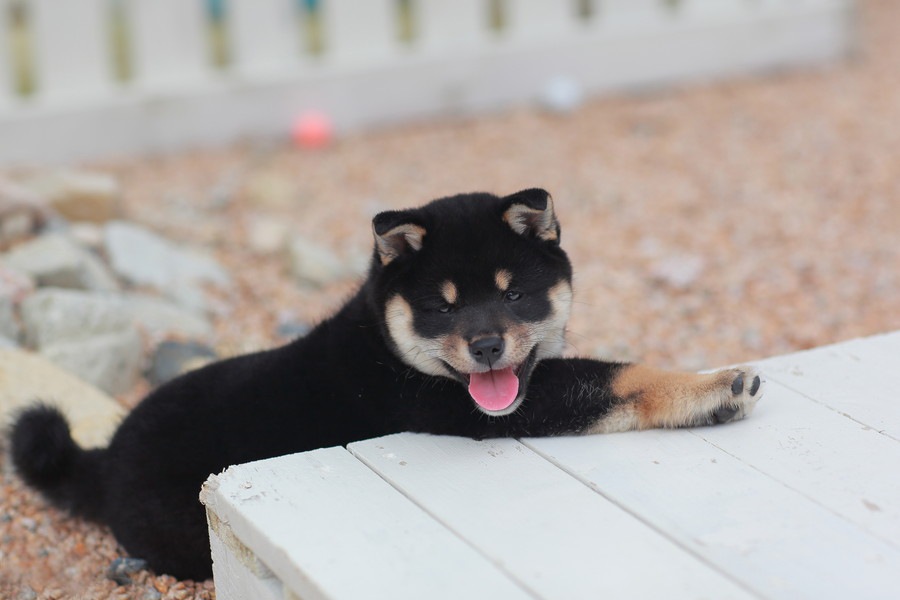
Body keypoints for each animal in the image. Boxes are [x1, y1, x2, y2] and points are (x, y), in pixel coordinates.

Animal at [10, 190, 764, 580]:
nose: (486, 345)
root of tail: (101, 457)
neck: (384, 348)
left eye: (514, 294)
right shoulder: (480, 410)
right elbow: (622, 376)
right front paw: (717, 387)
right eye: (442, 308)